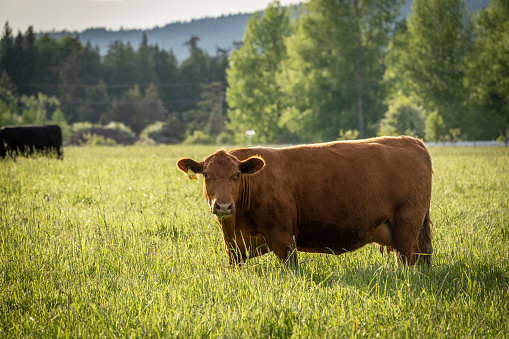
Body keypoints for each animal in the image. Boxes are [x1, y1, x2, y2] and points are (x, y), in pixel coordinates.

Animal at [176, 137, 432, 266]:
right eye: (206, 174)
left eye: (236, 175)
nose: (223, 206)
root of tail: (412, 141)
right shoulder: (233, 248)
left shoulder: (283, 238)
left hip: (407, 226)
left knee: (408, 261)